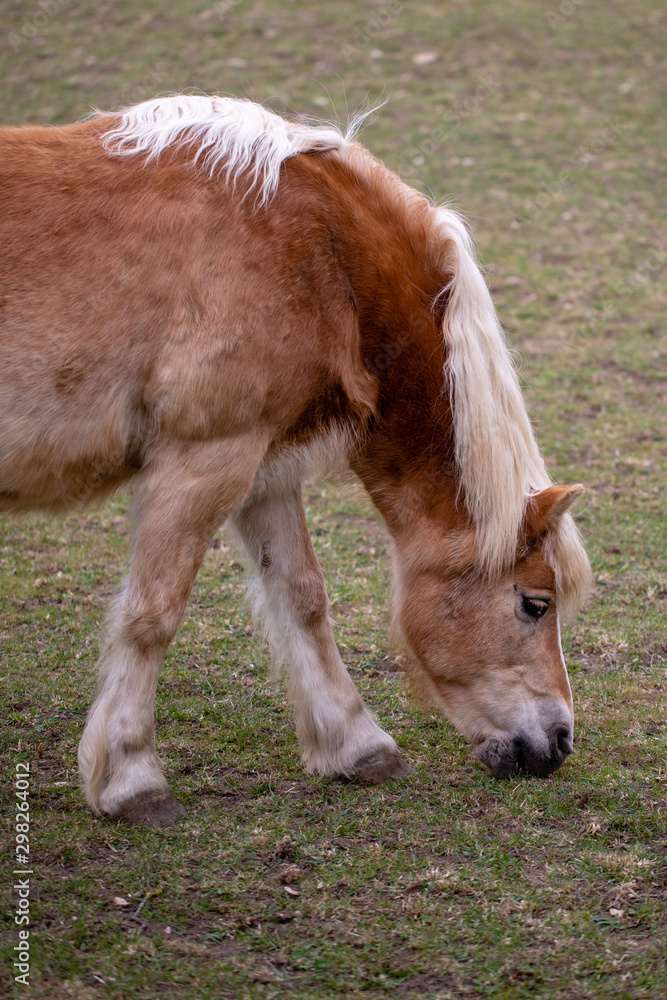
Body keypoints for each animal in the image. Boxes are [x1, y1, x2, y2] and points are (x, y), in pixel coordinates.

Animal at [0, 95, 592, 826]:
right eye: (535, 604)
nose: (559, 742)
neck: (313, 245)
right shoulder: (206, 460)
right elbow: (152, 614)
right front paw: (131, 780)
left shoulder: (262, 468)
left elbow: (302, 595)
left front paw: (357, 745)